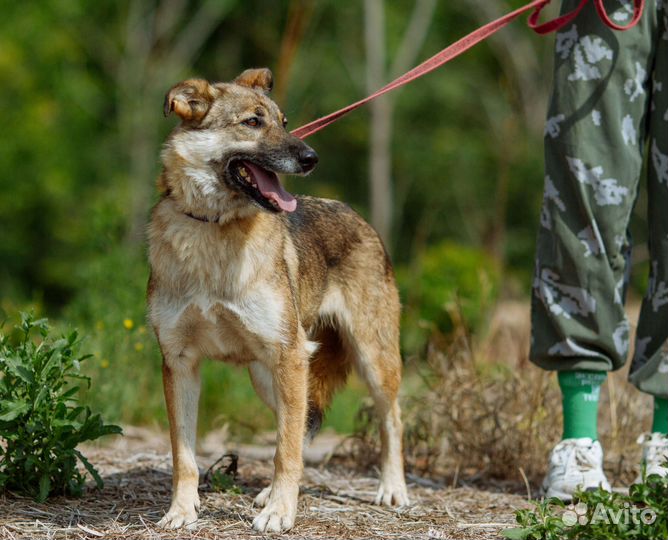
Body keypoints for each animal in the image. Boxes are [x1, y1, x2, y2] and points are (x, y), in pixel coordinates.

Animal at [147, 67, 408, 532]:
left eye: (284, 122)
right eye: (252, 122)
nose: (311, 158)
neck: (215, 228)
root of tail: (357, 215)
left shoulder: (288, 357)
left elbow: (285, 452)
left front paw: (280, 514)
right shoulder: (179, 363)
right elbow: (185, 456)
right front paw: (181, 511)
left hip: (366, 362)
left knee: (390, 420)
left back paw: (392, 489)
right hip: (270, 376)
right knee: (299, 427)